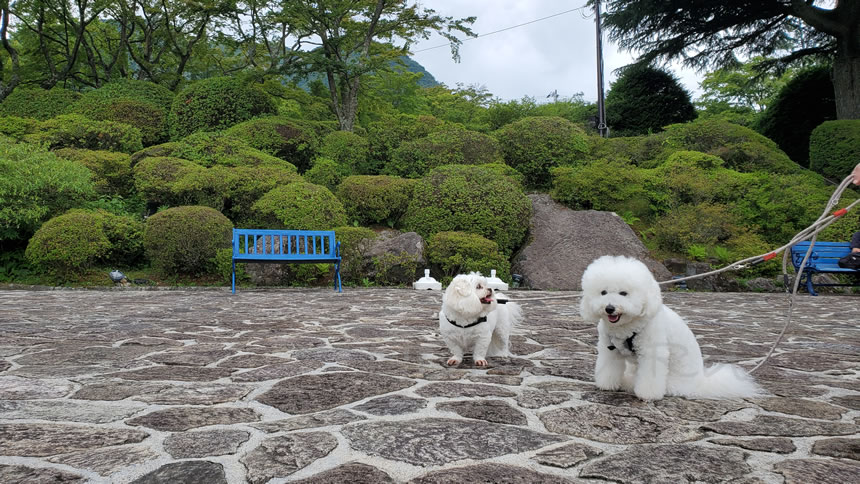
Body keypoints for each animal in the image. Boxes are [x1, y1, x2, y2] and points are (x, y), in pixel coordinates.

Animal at [580, 253, 764, 400]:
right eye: (603, 292)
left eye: (623, 293)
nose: (609, 308)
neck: (626, 326)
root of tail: (700, 384)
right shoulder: (609, 350)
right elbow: (608, 369)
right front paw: (607, 385)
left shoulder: (652, 351)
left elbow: (651, 377)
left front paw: (648, 395)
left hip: (672, 382)